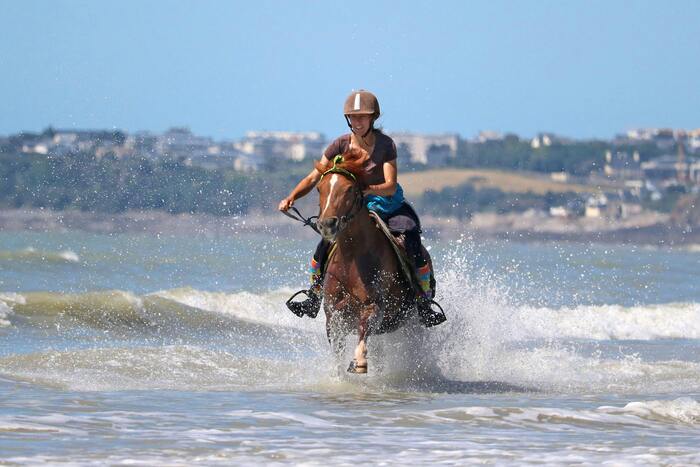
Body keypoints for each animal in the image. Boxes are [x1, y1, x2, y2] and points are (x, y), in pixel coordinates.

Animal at [314, 148, 421, 374]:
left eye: (349, 190)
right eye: (319, 188)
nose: (327, 224)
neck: (352, 257)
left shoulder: (374, 306)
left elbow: (365, 329)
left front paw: (360, 362)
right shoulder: (332, 313)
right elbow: (337, 347)